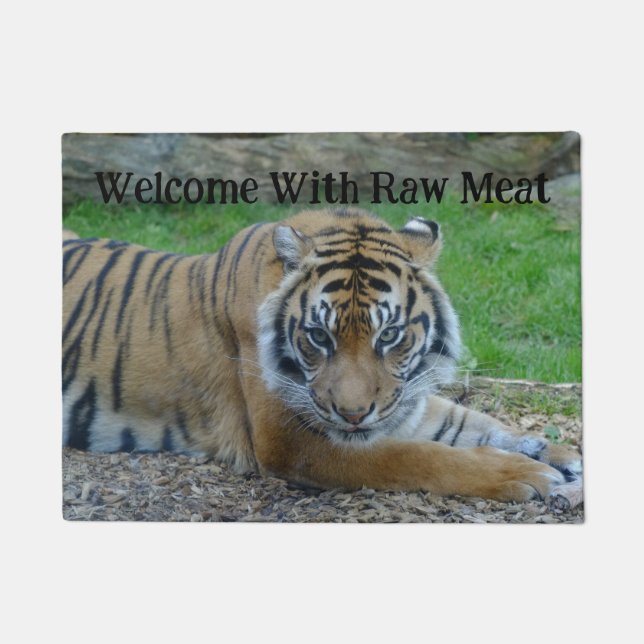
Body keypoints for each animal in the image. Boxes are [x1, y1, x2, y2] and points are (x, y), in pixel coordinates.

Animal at [62, 207, 582, 502]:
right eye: (318, 336)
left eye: (389, 335)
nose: (352, 415)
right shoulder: (290, 441)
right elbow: (417, 456)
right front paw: (526, 474)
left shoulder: (402, 398)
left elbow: (468, 424)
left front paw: (558, 453)